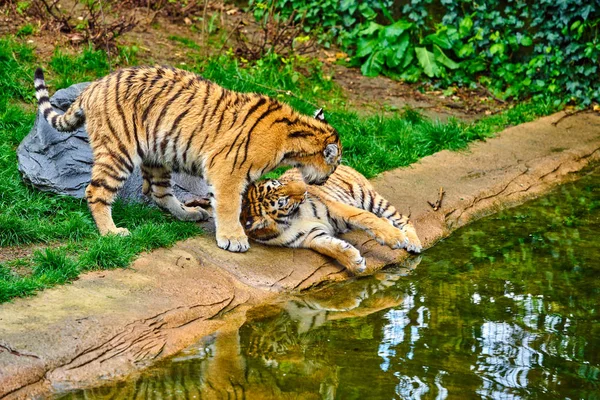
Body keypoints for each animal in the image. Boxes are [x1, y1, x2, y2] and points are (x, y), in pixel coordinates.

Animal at [34, 65, 342, 253]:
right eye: (335, 164)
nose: (327, 179)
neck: (294, 136)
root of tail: (94, 86)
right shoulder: (228, 170)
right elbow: (229, 205)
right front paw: (234, 239)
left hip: (157, 154)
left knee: (159, 193)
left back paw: (188, 213)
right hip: (118, 151)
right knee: (97, 191)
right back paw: (111, 232)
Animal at [240, 164, 422, 274]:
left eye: (278, 183)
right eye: (282, 201)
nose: (304, 187)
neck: (292, 218)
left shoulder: (335, 207)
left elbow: (365, 218)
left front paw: (396, 238)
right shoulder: (311, 236)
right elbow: (331, 247)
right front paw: (355, 262)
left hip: (369, 197)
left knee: (403, 219)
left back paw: (412, 242)